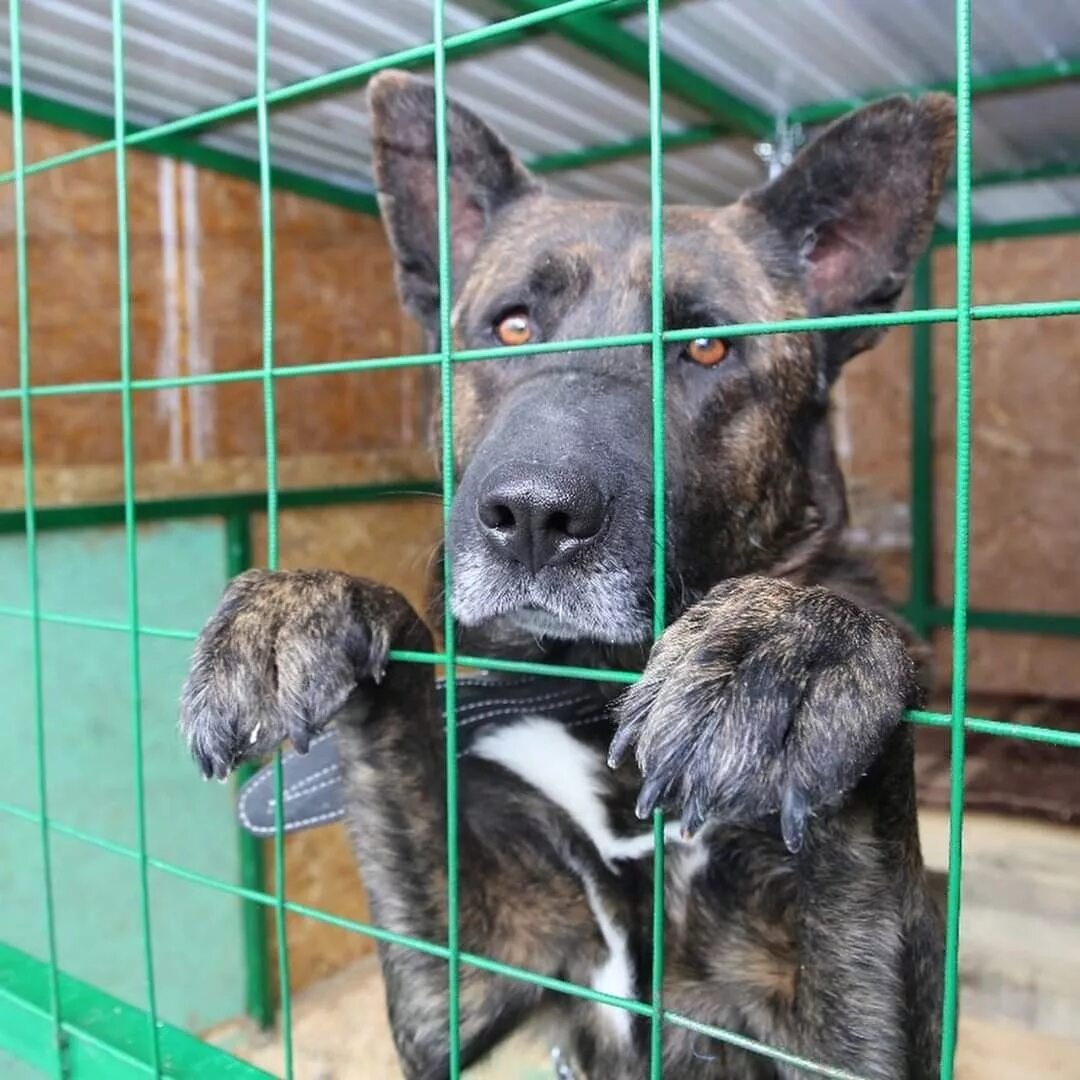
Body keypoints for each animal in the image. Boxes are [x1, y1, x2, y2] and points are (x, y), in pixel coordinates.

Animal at [181, 69, 959, 1080]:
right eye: (511, 326)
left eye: (706, 347)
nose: (532, 520)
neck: (600, 699)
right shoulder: (459, 987)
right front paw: (297, 605)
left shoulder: (847, 1043)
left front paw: (794, 648)